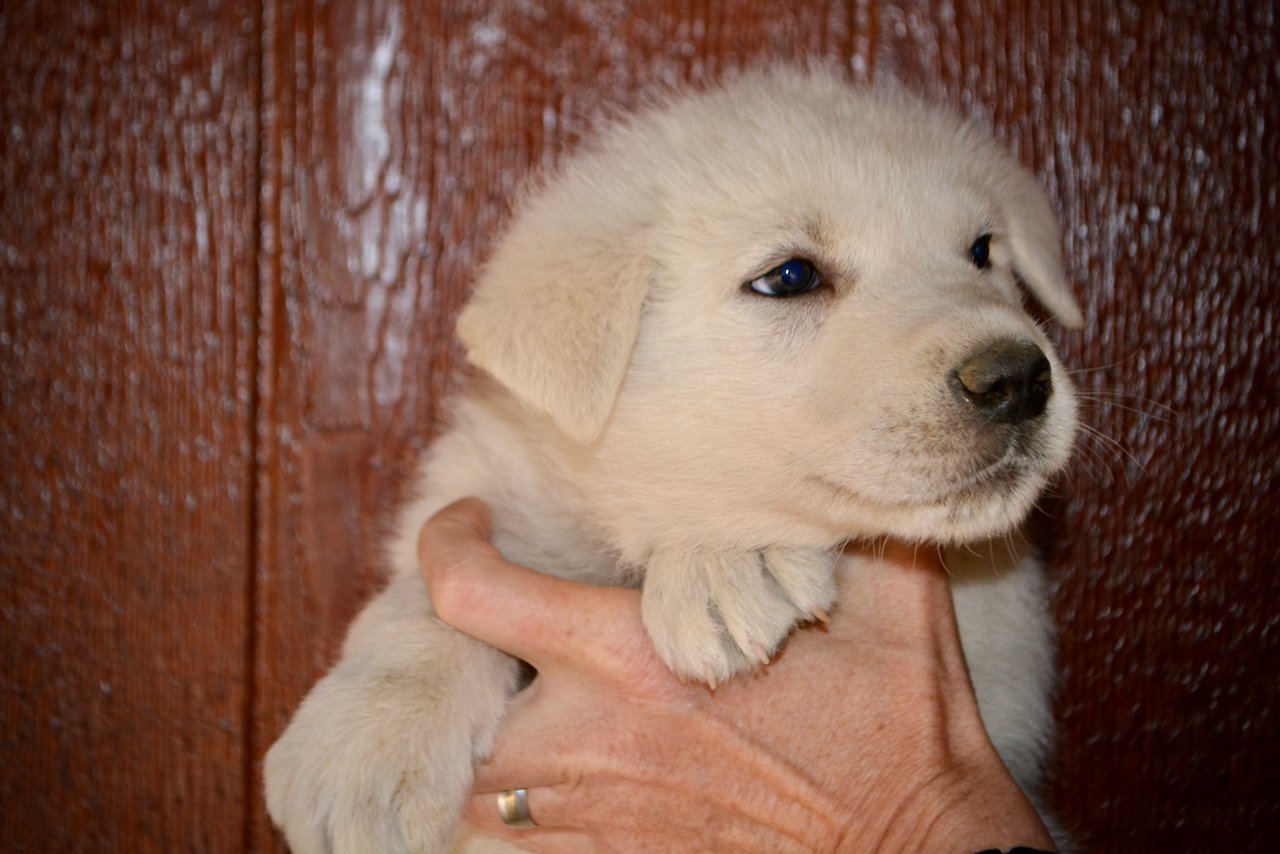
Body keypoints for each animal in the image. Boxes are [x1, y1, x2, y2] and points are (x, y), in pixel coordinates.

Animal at [267, 70, 1080, 850]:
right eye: (790, 277)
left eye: (982, 251)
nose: (1016, 379)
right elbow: (423, 593)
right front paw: (364, 745)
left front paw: (728, 555)